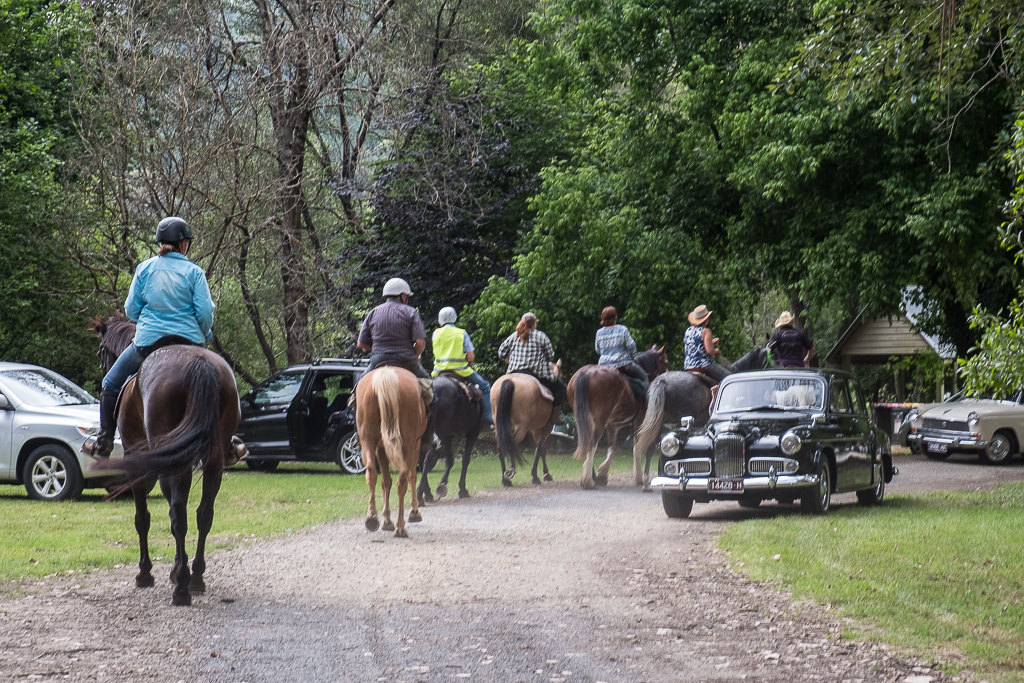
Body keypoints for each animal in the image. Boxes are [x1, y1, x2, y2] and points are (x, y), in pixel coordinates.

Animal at [356, 366, 428, 537]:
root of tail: (386, 374)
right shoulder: (416, 445)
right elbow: (413, 476)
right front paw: (414, 512)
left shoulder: (381, 448)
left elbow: (385, 481)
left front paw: (387, 521)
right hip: (408, 443)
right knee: (403, 480)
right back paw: (400, 527)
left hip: (367, 440)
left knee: (371, 472)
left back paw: (372, 518)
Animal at [417, 375, 483, 505]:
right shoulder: (473, 431)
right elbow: (464, 459)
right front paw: (461, 489)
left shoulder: (448, 435)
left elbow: (450, 460)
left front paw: (441, 486)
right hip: (439, 431)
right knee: (428, 459)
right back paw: (420, 495)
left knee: (421, 460)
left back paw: (425, 495)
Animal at [567, 346, 668, 490]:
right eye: (665, 363)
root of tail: (586, 373)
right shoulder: (639, 422)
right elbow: (636, 448)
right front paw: (638, 477)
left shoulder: (612, 425)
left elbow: (612, 450)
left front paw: (602, 475)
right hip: (599, 421)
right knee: (592, 444)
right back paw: (588, 481)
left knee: (586, 442)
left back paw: (590, 476)